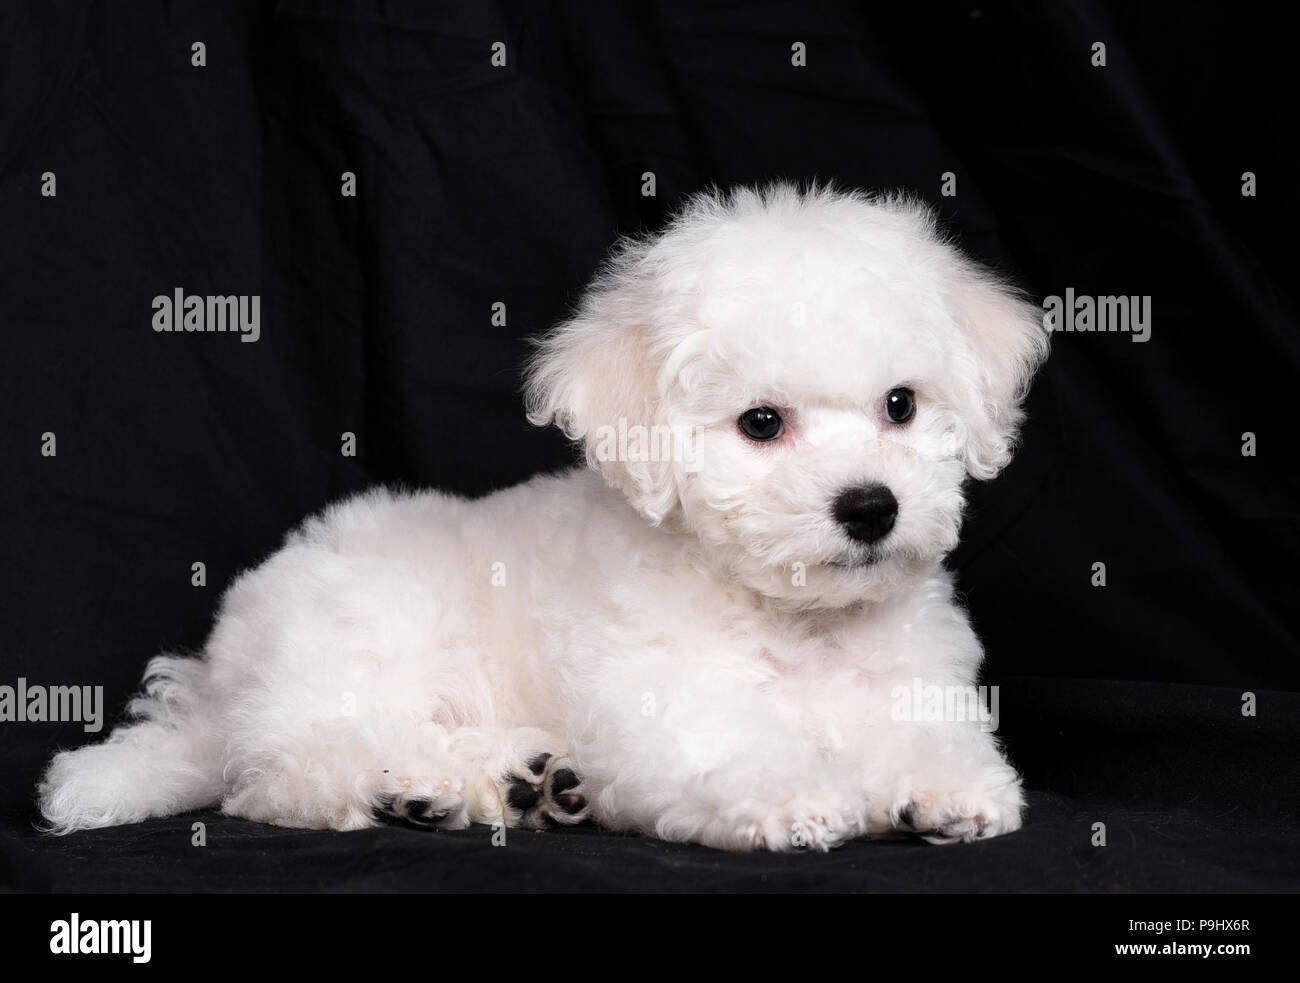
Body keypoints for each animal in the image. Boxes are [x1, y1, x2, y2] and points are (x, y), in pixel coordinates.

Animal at [35, 185, 1045, 852]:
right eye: (762, 423)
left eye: (901, 405)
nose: (872, 506)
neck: (796, 620)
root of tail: (222, 672)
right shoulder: (660, 704)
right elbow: (732, 741)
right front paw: (794, 794)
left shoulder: (915, 678)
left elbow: (928, 732)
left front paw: (945, 785)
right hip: (355, 646)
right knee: (286, 768)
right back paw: (414, 786)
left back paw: (524, 781)